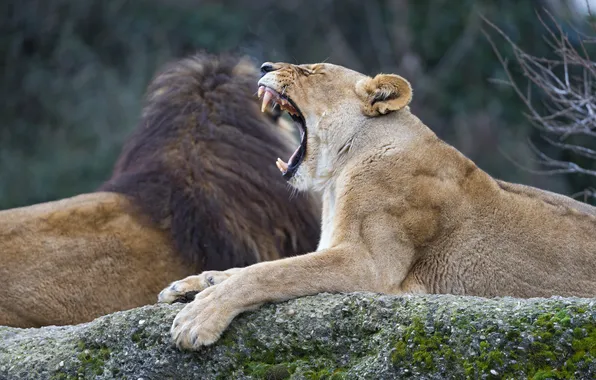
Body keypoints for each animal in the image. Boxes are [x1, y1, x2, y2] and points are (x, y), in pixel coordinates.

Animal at [158, 60, 596, 350]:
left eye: (312, 71)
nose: (265, 64)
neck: (340, 173)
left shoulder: (370, 264)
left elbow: (273, 272)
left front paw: (198, 316)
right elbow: (254, 267)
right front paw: (192, 284)